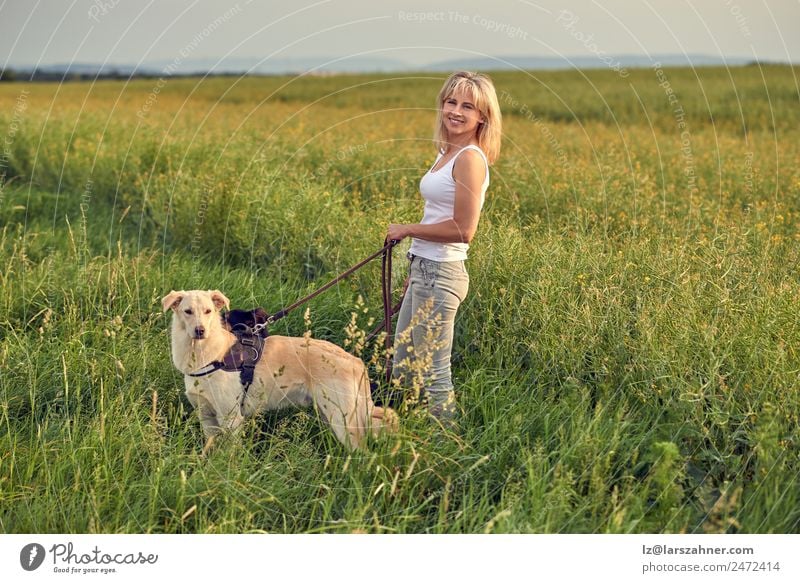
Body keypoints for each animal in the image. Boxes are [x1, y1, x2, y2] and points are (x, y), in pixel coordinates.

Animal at [163, 290, 400, 450]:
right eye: (187, 312)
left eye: (208, 311)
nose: (200, 330)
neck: (209, 355)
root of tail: (355, 361)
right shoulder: (206, 416)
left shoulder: (231, 419)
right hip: (331, 416)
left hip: (344, 422)